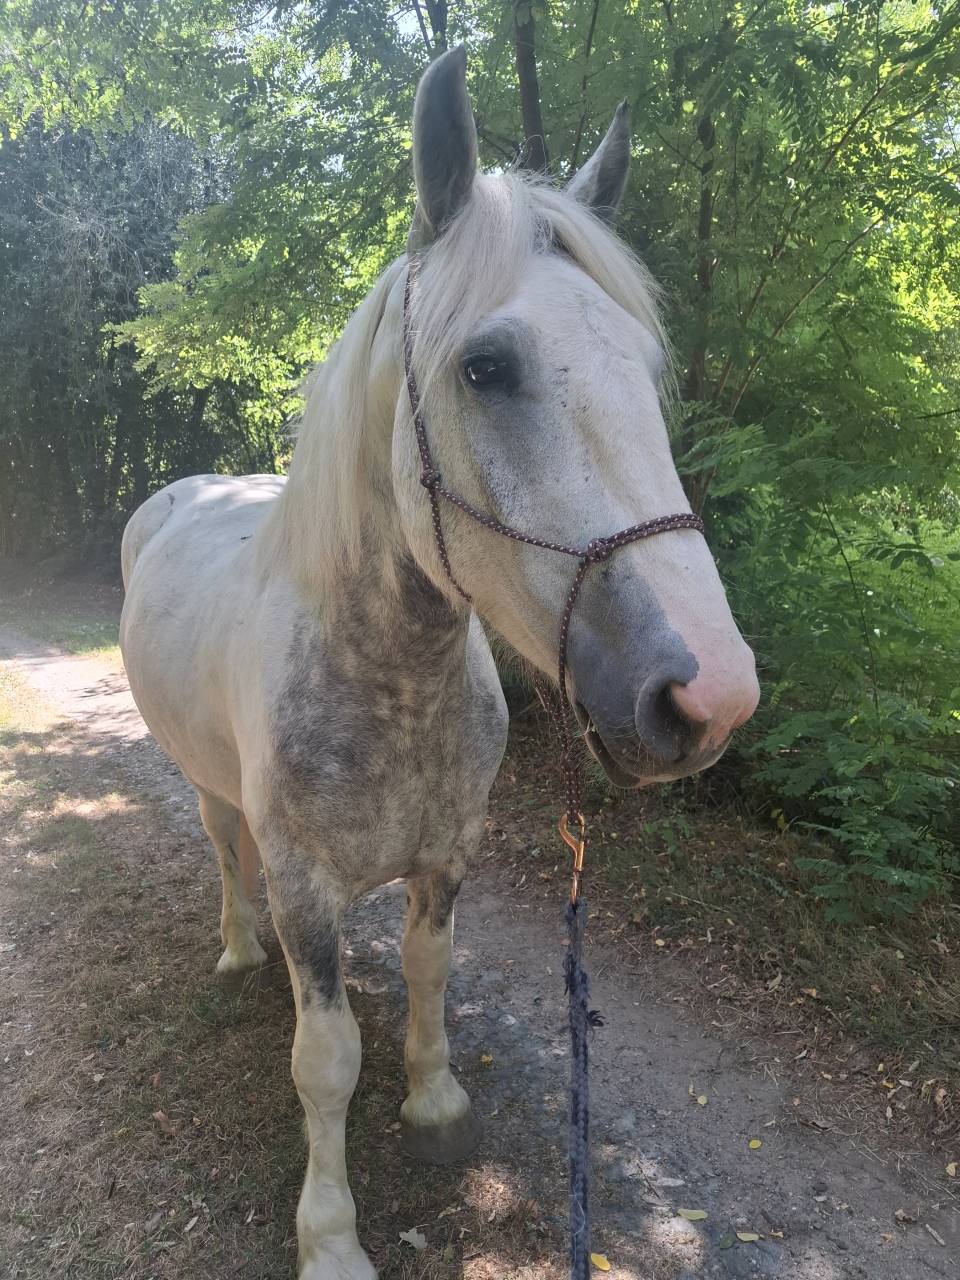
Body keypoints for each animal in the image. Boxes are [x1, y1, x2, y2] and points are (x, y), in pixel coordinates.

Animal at [119, 46, 759, 1280]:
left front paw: (435, 1103)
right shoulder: (311, 886)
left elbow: (427, 975)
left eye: (646, 365)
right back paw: (238, 947)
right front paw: (330, 1235)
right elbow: (323, 1059)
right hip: (207, 782)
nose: (710, 694)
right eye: (487, 366)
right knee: (224, 848)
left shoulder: (449, 856)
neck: (390, 677)